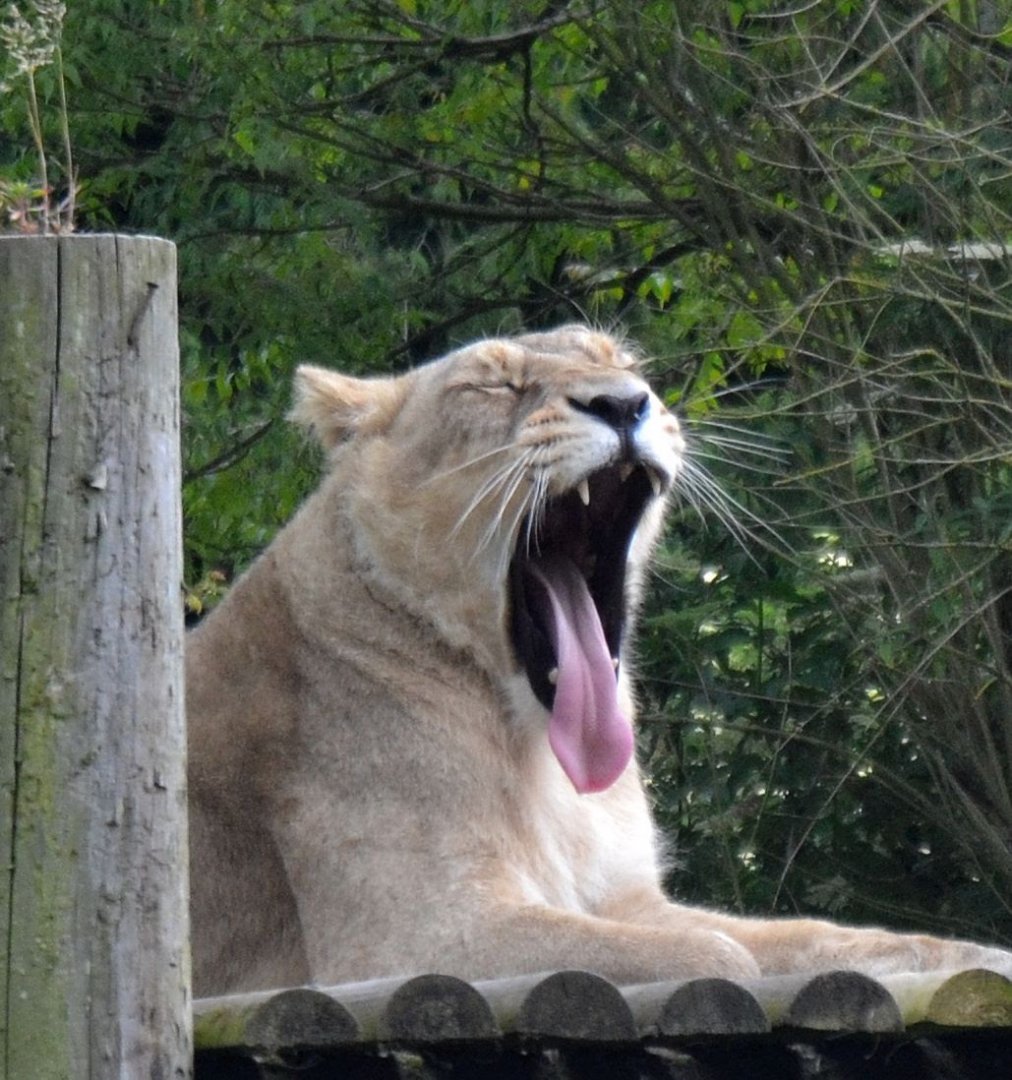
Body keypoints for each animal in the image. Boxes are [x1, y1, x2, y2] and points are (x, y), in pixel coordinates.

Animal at [188, 324, 1012, 996]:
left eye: (626, 366)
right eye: (493, 386)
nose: (624, 405)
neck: (538, 752)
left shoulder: (628, 898)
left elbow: (823, 939)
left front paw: (979, 957)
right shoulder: (408, 939)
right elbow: (717, 958)